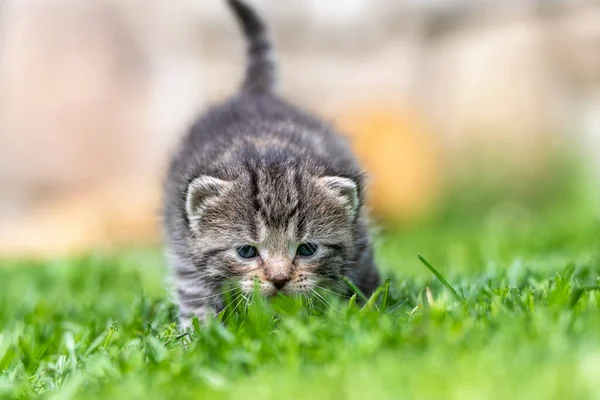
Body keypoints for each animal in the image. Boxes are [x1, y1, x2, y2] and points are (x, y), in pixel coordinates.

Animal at [164, 0, 380, 328]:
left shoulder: (360, 241)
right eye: (246, 251)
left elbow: (364, 283)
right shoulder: (185, 249)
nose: (279, 279)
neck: (268, 150)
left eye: (307, 249)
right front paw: (199, 334)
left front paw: (365, 317)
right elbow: (195, 295)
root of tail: (256, 92)